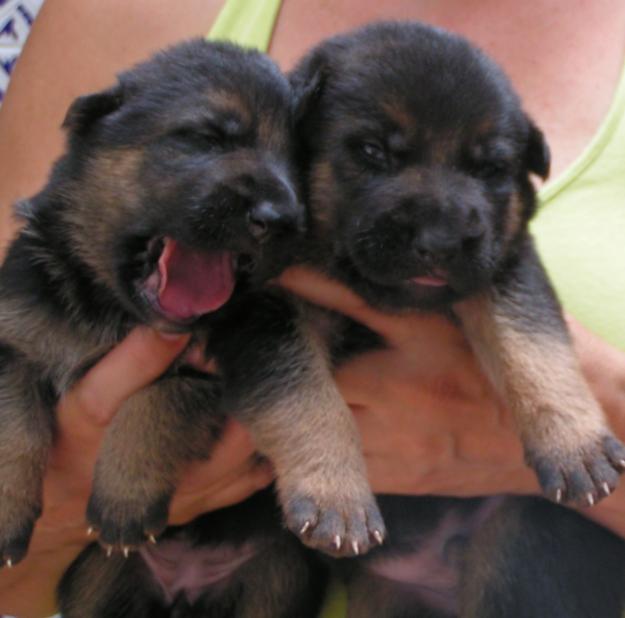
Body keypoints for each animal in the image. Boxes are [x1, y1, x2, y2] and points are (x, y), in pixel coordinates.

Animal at [286, 20, 624, 616]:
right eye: (373, 151)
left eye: (489, 169)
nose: (440, 243)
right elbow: (305, 393)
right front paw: (334, 496)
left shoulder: (504, 260)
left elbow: (532, 343)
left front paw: (574, 442)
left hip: (517, 535)